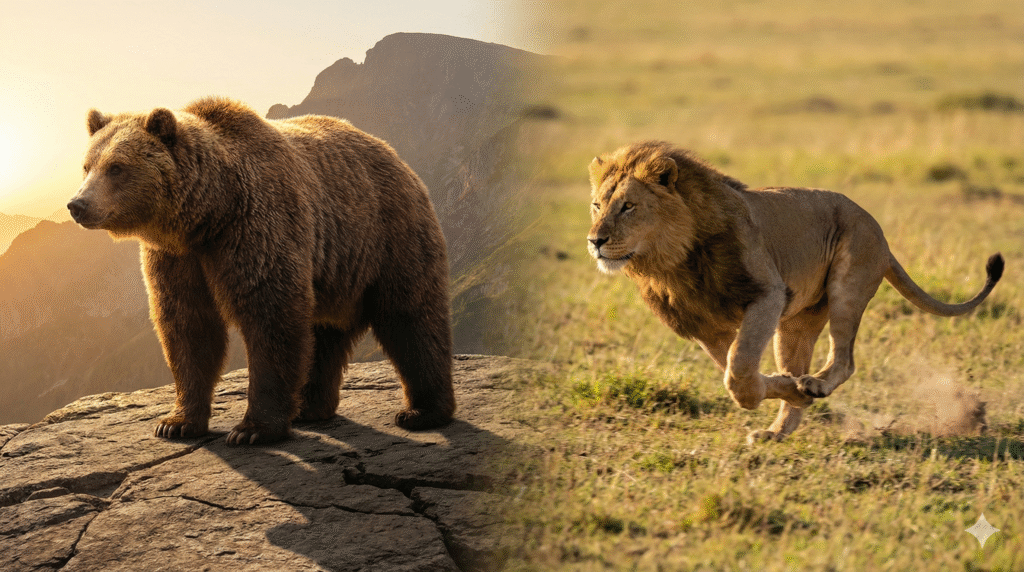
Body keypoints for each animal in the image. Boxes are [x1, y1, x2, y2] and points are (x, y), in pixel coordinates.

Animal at [67, 96, 456, 445]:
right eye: (87, 166)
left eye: (116, 167)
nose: (77, 204)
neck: (209, 213)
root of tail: (394, 155)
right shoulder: (178, 258)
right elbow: (188, 327)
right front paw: (176, 423)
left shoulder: (257, 227)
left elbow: (270, 316)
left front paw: (252, 430)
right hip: (336, 271)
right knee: (324, 335)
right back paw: (309, 408)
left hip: (387, 235)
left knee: (410, 316)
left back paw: (421, 412)